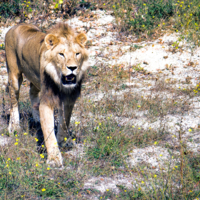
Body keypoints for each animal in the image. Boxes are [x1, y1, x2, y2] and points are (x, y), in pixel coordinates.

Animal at [4, 23, 88, 167]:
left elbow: (65, 122)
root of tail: (15, 26)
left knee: (32, 92)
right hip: (14, 75)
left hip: (36, 79)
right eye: (61, 54)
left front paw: (63, 142)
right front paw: (54, 159)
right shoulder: (47, 100)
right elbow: (48, 129)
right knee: (14, 101)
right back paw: (14, 127)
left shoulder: (68, 100)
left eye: (77, 54)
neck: (60, 82)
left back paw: (37, 118)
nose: (72, 68)